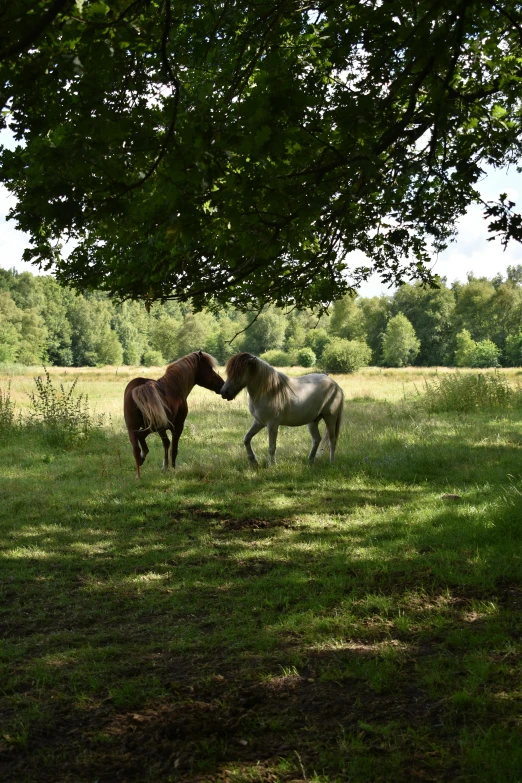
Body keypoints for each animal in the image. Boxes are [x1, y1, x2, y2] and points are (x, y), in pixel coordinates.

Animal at [126, 350, 225, 478]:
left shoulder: (162, 429)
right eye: (209, 368)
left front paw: (165, 467)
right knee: (140, 436)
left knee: (136, 448)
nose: (222, 385)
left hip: (133, 427)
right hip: (151, 426)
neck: (174, 388)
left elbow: (166, 444)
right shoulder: (177, 427)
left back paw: (138, 474)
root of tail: (140, 388)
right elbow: (173, 448)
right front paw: (172, 469)